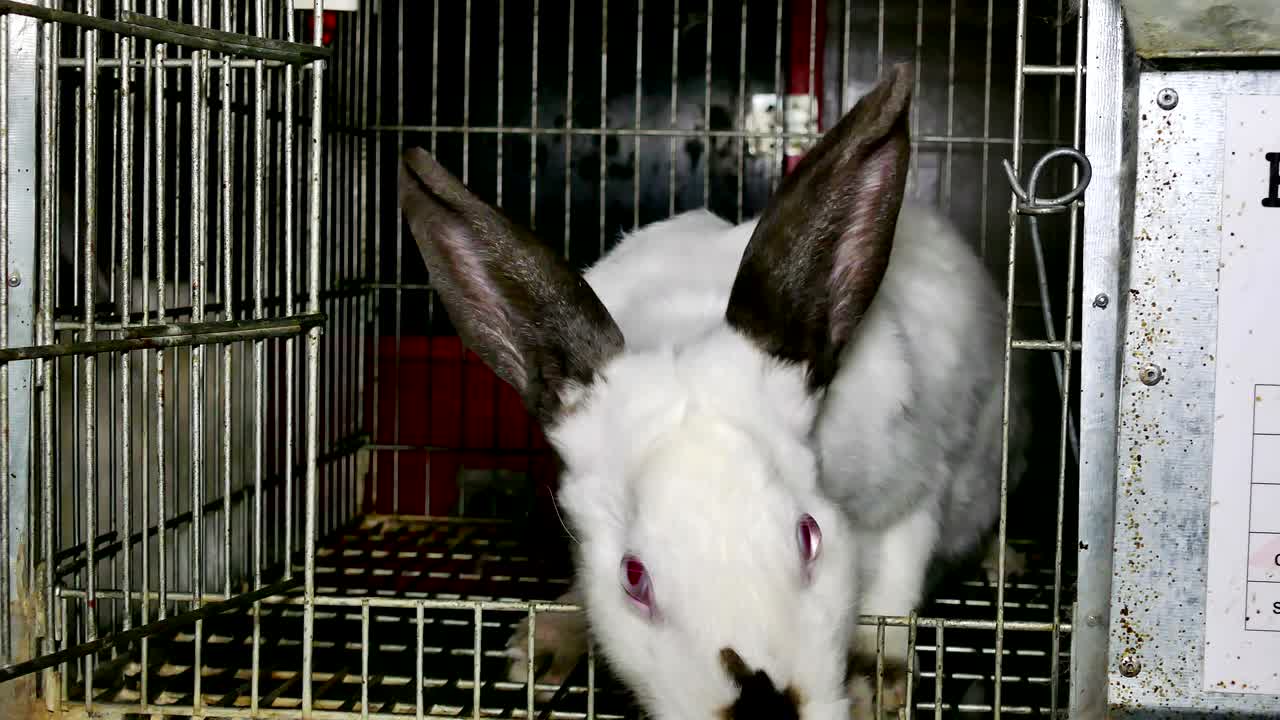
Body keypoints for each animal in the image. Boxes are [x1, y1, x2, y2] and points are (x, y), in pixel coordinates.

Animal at [398, 62, 1030, 720]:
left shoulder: (913, 488)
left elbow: (893, 591)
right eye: (633, 576)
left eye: (808, 536)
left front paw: (878, 682)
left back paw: (1003, 559)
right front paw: (551, 640)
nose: (763, 706)